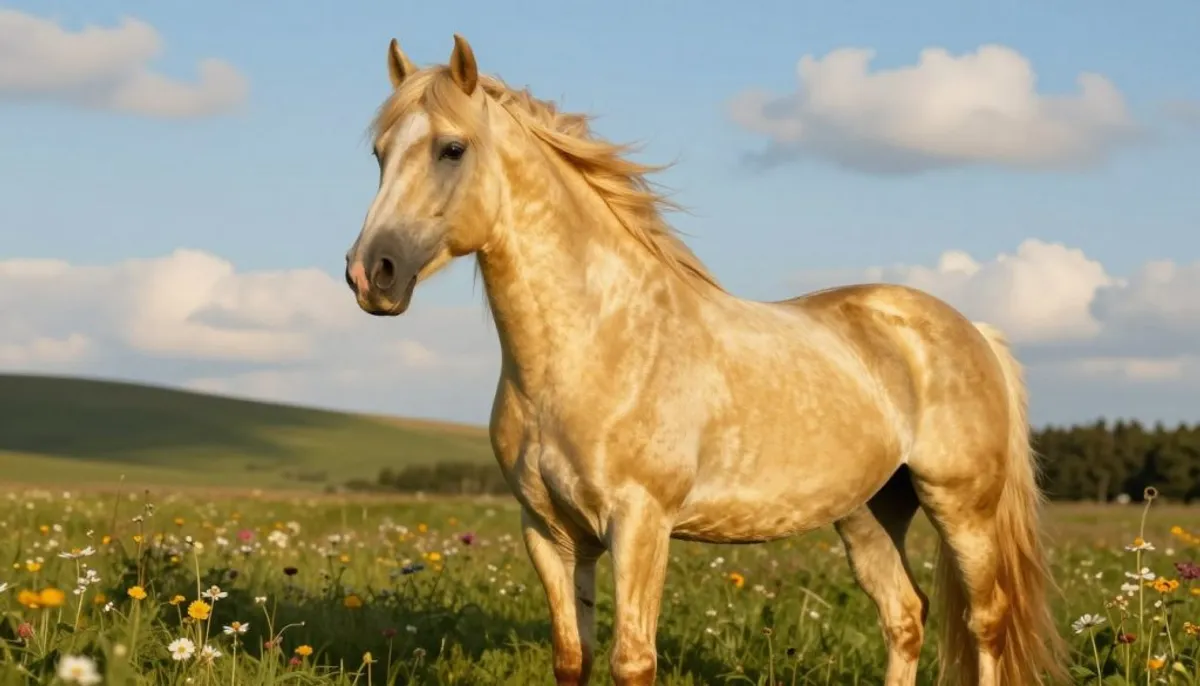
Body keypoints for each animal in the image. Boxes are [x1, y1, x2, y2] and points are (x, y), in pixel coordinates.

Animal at [342, 34, 1069, 686]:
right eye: (379, 154)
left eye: (452, 148)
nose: (370, 273)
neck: (592, 346)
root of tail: (970, 329)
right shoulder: (549, 533)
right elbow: (572, 658)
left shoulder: (640, 525)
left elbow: (632, 662)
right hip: (868, 514)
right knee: (905, 616)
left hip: (962, 510)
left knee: (985, 625)